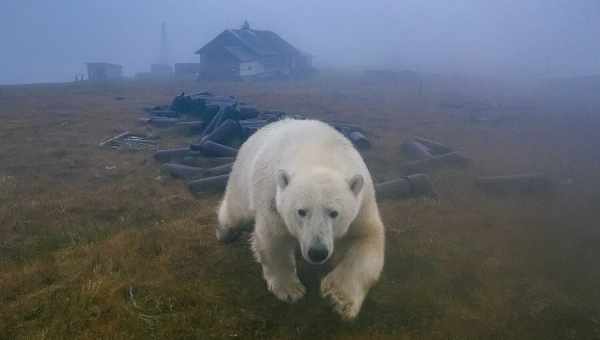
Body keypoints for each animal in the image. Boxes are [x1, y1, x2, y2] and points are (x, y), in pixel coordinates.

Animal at [216, 118, 384, 320]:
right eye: (301, 211)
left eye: (334, 213)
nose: (317, 252)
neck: (320, 155)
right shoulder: (272, 195)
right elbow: (274, 239)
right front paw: (290, 290)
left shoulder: (362, 203)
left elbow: (367, 239)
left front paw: (339, 298)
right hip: (243, 173)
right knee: (236, 210)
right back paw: (225, 231)